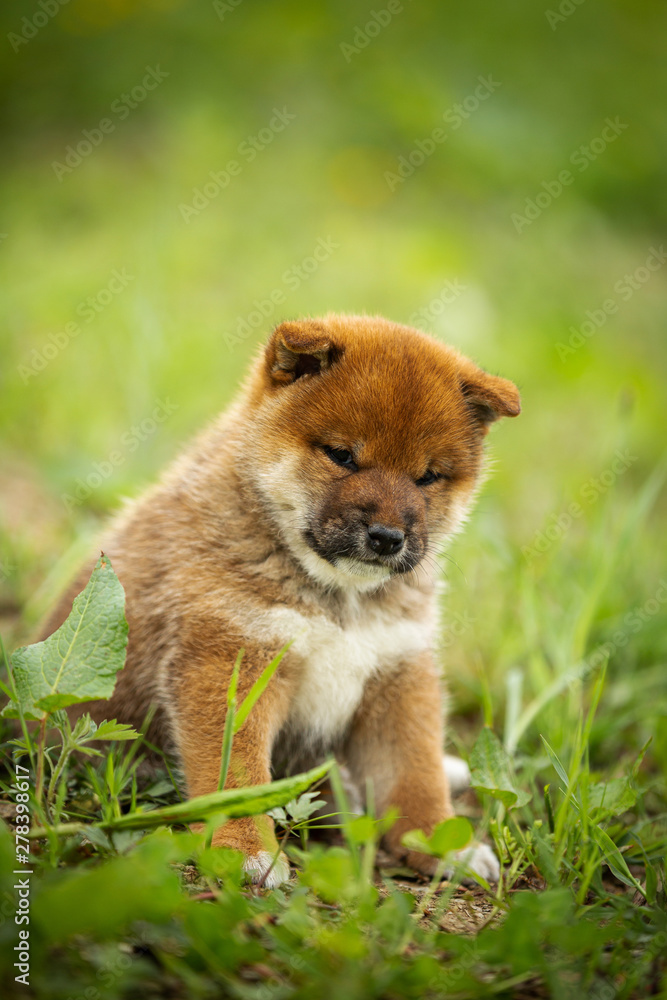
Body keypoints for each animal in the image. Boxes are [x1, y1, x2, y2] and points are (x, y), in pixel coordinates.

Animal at [42, 314, 520, 886]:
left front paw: (441, 842)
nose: (387, 537)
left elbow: (414, 771)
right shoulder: (231, 661)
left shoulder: (399, 672)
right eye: (342, 456)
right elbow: (236, 775)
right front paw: (245, 847)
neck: (339, 598)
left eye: (427, 476)